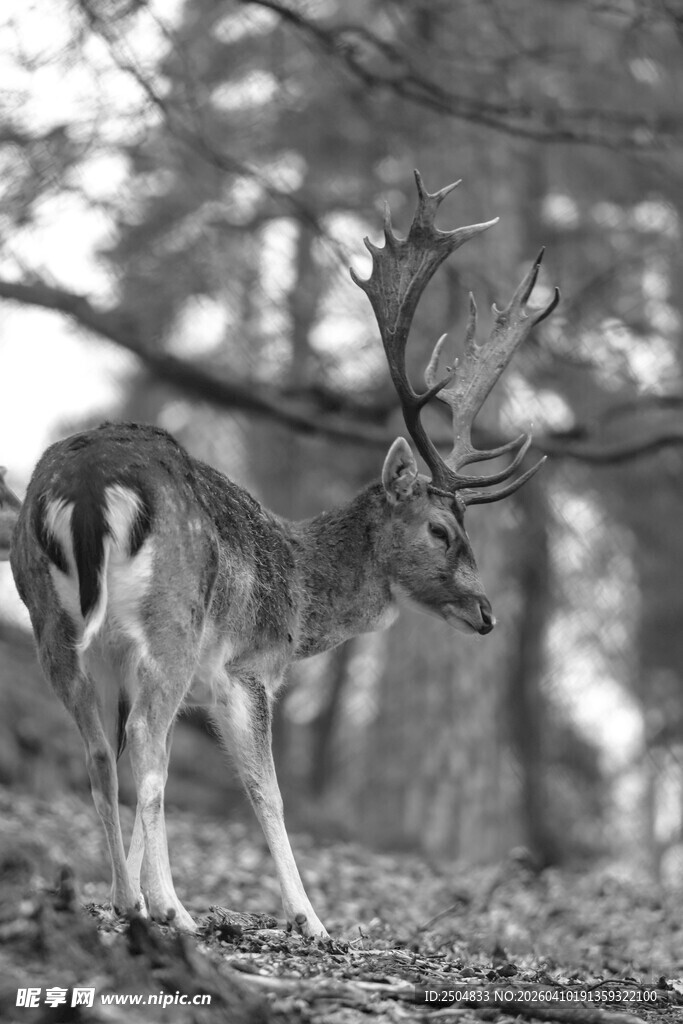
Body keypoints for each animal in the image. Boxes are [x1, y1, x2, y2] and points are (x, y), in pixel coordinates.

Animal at [8, 173, 558, 939]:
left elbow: (138, 761)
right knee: (145, 748)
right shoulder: (246, 670)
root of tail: (88, 487)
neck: (299, 595)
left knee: (98, 753)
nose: (486, 614)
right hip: (172, 623)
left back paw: (129, 899)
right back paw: (167, 908)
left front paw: (137, 893)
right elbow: (264, 792)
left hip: (51, 623)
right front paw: (310, 919)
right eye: (441, 530)